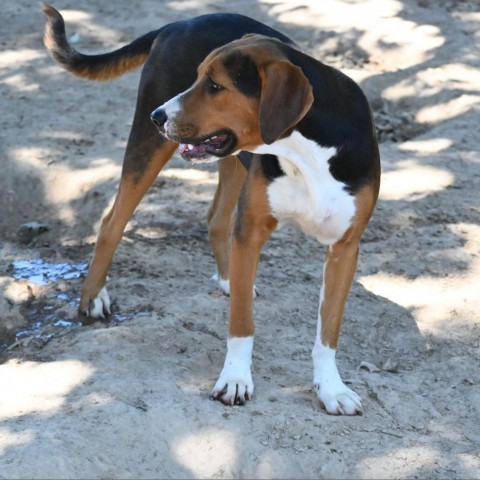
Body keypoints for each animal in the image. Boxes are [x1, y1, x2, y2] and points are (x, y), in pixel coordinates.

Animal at [44, 4, 378, 416]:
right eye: (198, 77)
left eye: (216, 86)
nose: (158, 115)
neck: (308, 151)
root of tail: (179, 22)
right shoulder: (251, 231)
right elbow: (241, 325)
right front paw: (235, 380)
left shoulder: (345, 248)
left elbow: (328, 330)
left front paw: (332, 389)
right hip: (150, 148)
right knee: (112, 222)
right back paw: (93, 298)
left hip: (232, 163)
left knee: (216, 221)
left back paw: (228, 279)